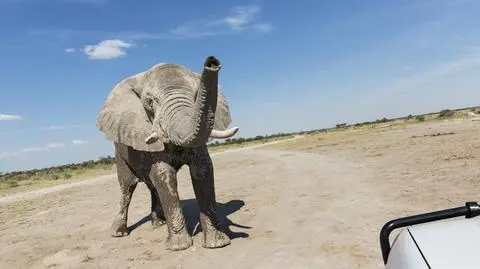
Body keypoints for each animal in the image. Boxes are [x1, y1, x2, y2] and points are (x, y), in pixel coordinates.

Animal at [96, 55, 239, 250]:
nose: (212, 62)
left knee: (152, 186)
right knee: (127, 187)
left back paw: (159, 223)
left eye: (196, 94)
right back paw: (119, 233)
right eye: (149, 101)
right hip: (119, 153)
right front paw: (179, 247)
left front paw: (217, 244)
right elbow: (164, 175)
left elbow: (203, 170)